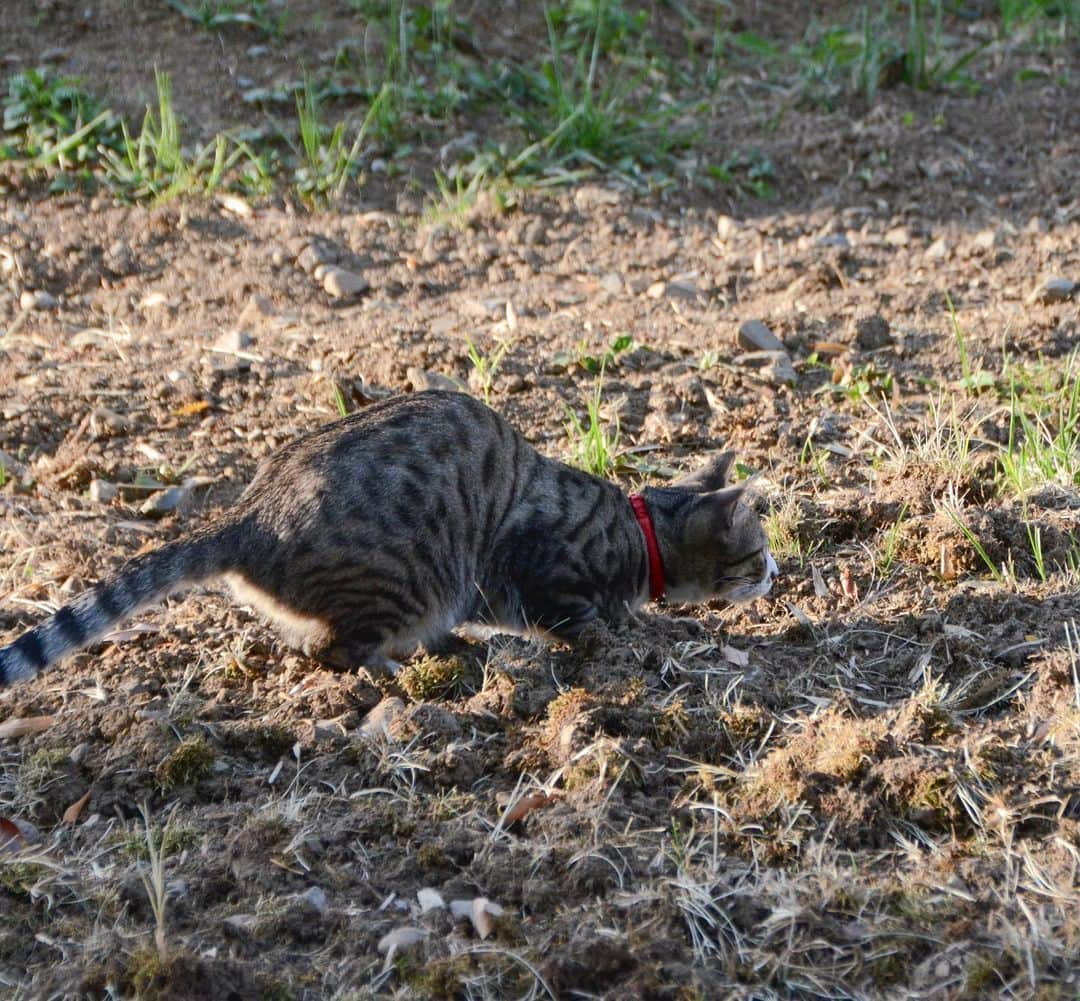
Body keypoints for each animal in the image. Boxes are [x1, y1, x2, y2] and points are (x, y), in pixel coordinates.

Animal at [0, 390, 777, 691]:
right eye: (758, 552)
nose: (777, 573)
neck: (637, 530)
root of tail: (248, 513)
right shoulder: (543, 569)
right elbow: (587, 622)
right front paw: (636, 638)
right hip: (403, 576)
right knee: (332, 650)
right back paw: (397, 673)